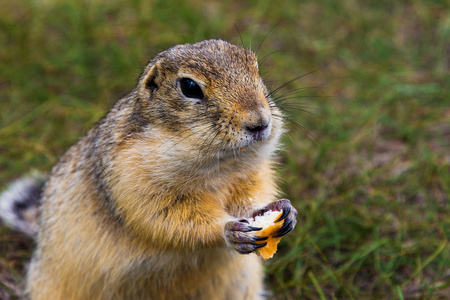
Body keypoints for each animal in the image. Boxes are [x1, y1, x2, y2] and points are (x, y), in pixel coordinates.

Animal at [0, 39, 298, 300]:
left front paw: (283, 210)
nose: (259, 122)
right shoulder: (136, 181)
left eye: (254, 66)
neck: (221, 166)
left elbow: (253, 195)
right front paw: (230, 229)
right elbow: (170, 220)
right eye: (189, 86)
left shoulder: (252, 176)